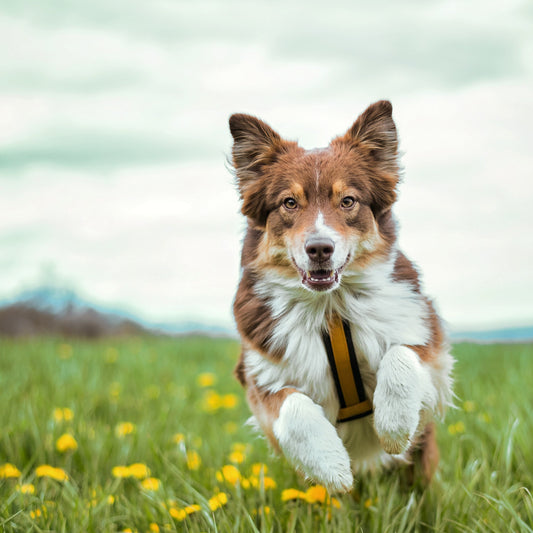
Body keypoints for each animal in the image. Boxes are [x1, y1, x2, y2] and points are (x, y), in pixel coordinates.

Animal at [229, 98, 454, 490]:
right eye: (289, 203)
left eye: (348, 200)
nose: (320, 248)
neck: (330, 307)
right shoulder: (260, 374)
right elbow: (292, 407)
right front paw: (331, 465)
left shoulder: (426, 338)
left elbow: (401, 356)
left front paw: (394, 426)